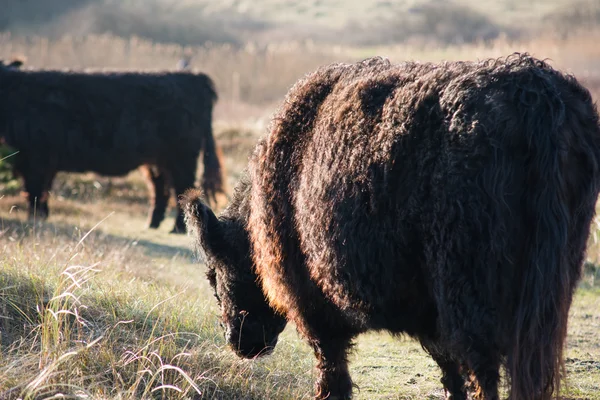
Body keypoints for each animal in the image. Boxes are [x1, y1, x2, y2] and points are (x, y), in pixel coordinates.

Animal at [0, 61, 224, 233]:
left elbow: (35, 190)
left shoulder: (35, 158)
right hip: (157, 160)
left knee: (182, 188)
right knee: (160, 188)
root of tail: (195, 77)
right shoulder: (43, 162)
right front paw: (42, 215)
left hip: (181, 157)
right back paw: (152, 224)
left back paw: (177, 228)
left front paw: (35, 217)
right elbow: (42, 190)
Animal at [182, 54, 600, 400]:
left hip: (468, 287)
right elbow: (449, 372)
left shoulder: (312, 302)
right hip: (549, 285)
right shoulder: (430, 312)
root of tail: (534, 90)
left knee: (483, 367)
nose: (236, 341)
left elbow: (331, 371)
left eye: (213, 274)